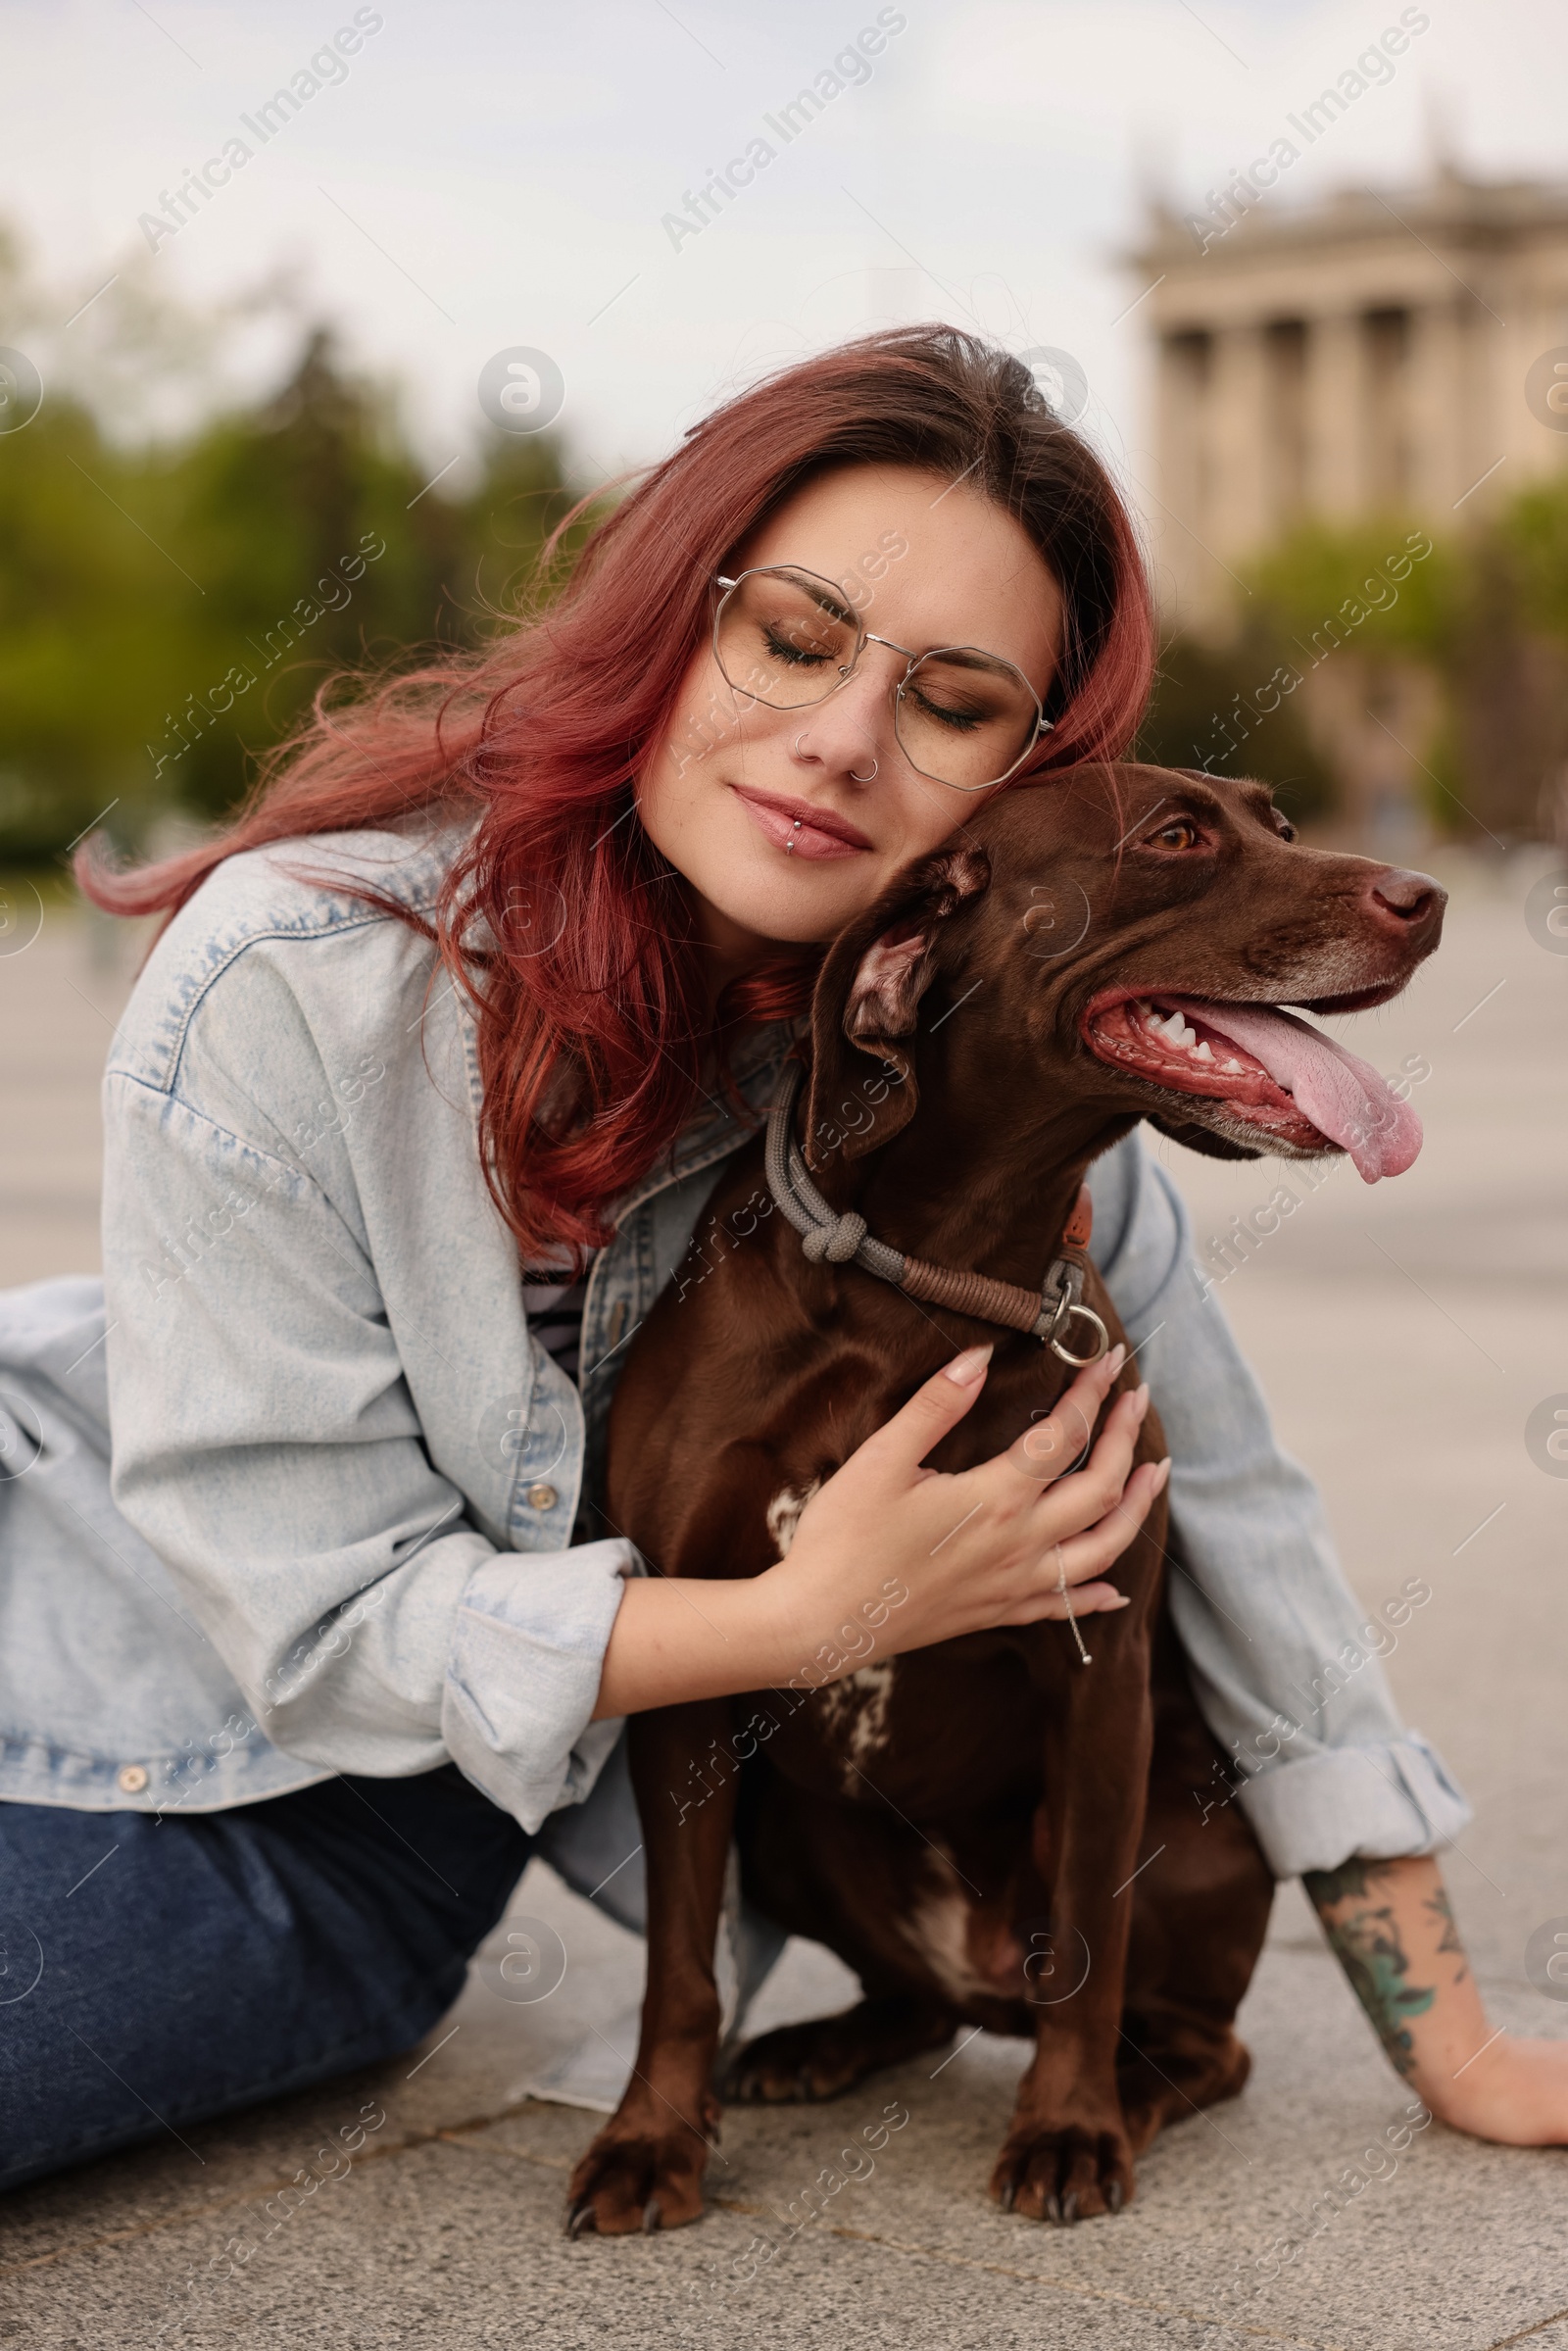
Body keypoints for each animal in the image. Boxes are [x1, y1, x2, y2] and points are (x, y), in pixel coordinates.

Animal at [566, 766, 1447, 2237]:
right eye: (1176, 834)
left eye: (1274, 817)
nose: (1422, 897)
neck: (920, 1277)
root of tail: (976, 1966)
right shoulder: (685, 1681)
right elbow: (678, 1966)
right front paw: (650, 2138)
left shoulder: (1098, 1676)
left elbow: (1088, 1947)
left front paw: (1068, 2127)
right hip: (789, 1829)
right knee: (916, 2003)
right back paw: (821, 2043)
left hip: (1189, 1825)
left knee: (1189, 2034)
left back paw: (1121, 2094)